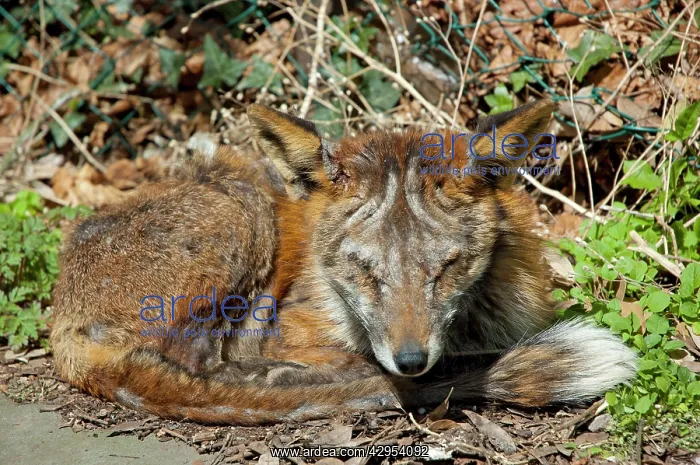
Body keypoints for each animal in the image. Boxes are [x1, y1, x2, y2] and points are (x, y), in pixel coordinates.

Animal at [50, 99, 637, 425]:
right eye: (365, 270)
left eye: (445, 268)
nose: (410, 361)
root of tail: (62, 320)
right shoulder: (287, 329)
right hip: (243, 207)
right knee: (195, 364)